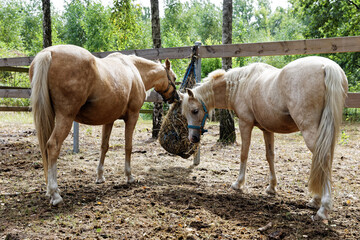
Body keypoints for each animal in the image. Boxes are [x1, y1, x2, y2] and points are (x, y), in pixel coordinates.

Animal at [29, 44, 179, 204]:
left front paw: (100, 176)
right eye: (174, 78)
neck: (134, 70)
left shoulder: (109, 120)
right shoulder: (132, 117)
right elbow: (128, 146)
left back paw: (49, 190)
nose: (175, 97)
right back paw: (55, 193)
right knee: (53, 145)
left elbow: (104, 146)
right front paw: (129, 176)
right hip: (65, 118)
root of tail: (48, 53)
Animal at [181, 56, 348, 219]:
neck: (241, 84)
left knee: (323, 159)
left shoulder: (245, 124)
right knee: (323, 160)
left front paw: (238, 183)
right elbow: (270, 156)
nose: (193, 138)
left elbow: (244, 154)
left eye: (195, 111)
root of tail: (327, 66)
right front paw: (271, 187)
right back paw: (316, 201)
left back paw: (323, 208)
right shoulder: (267, 130)